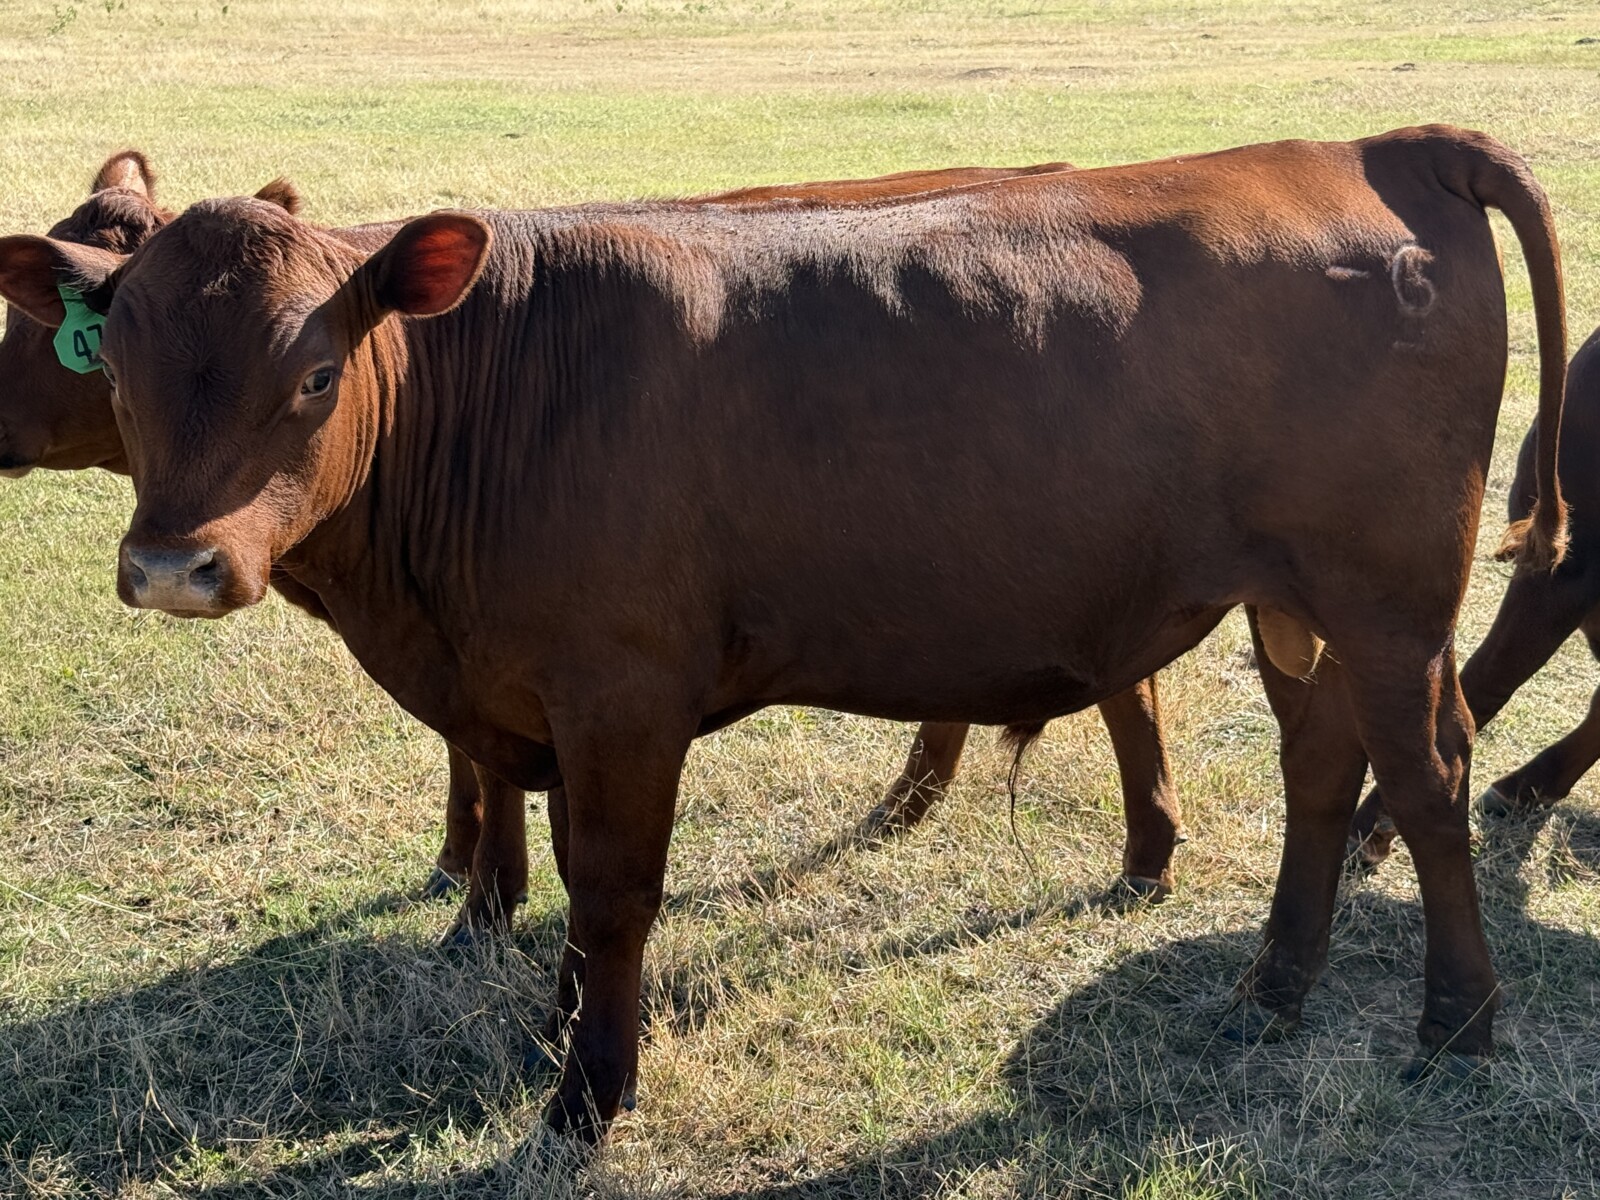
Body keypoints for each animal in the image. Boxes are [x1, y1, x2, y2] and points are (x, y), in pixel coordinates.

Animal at [0, 124, 1566, 1142]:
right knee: (1320, 767)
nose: (173, 566)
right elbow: (555, 872)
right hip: (1290, 602)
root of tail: (1373, 145)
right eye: (117, 365)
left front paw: (589, 1092)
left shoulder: (622, 695)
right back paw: (1273, 989)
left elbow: (613, 891)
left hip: (1389, 598)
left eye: (317, 372)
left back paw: (1458, 1021)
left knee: (1424, 775)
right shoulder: (529, 702)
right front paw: (555, 1029)